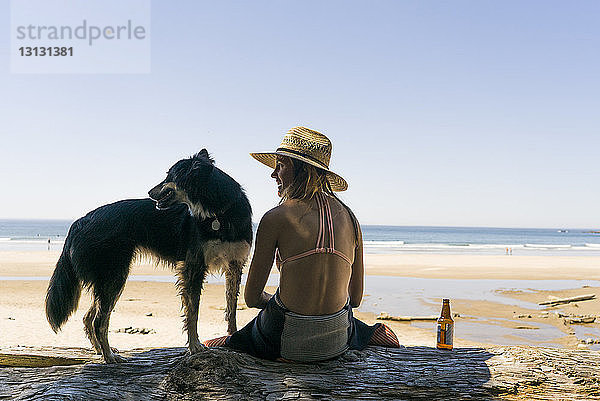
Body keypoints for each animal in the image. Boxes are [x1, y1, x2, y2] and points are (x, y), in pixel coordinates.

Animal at [46, 149, 253, 362]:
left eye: (170, 177)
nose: (149, 193)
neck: (220, 212)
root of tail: (81, 220)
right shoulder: (194, 266)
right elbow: (193, 311)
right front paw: (194, 345)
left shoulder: (235, 265)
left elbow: (231, 308)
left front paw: (232, 337)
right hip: (115, 275)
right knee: (98, 321)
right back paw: (108, 356)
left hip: (109, 278)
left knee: (89, 318)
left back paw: (100, 351)